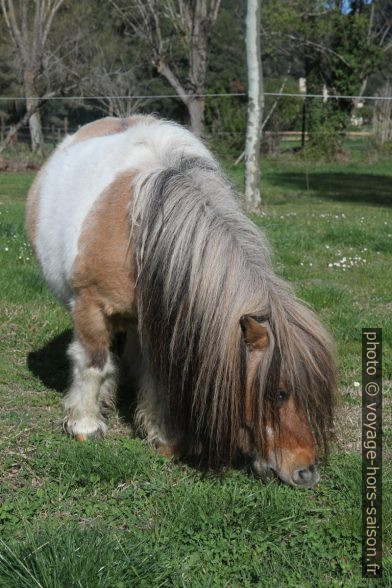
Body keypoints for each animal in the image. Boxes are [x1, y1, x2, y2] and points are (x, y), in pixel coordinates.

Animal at [25, 113, 336, 486]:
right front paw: (85, 425)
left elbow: (157, 375)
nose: (307, 472)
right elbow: (93, 364)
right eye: (277, 393)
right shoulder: (91, 308)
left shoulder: (161, 319)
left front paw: (162, 435)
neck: (141, 231)